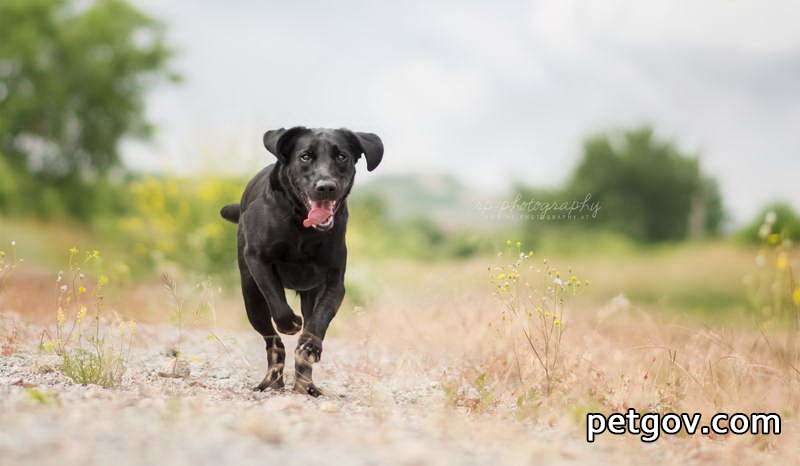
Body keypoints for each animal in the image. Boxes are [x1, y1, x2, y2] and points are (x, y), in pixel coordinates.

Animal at [219, 127, 382, 396]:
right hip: (251, 299)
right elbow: (279, 305)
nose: (326, 187)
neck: (302, 227)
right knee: (272, 339)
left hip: (307, 295)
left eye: (342, 157)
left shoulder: (333, 283)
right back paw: (272, 379)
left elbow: (318, 321)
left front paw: (310, 346)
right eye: (305, 156)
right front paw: (291, 323)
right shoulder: (258, 260)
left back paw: (306, 385)